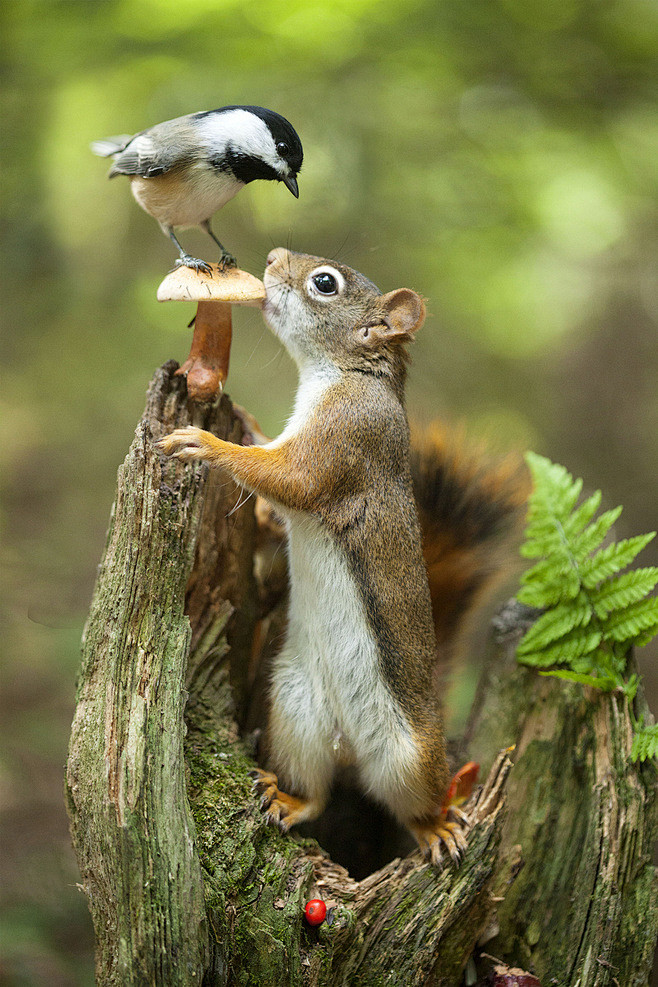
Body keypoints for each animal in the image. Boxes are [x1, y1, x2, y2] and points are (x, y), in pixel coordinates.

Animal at [156, 247, 524, 864]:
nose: (273, 257)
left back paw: (437, 827)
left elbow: (287, 479)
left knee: (416, 803)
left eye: (324, 284)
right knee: (318, 793)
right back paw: (289, 800)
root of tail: (349, 746)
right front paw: (245, 424)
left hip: (409, 755)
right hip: (295, 711)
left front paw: (206, 444)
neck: (344, 374)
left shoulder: (344, 438)